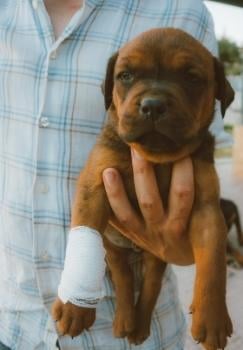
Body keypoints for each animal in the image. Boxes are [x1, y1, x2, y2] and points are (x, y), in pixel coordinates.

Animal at [52, 28, 234, 348]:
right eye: (126, 76)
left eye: (191, 77)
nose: (153, 105)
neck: (158, 158)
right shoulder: (95, 185)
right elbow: (85, 228)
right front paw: (74, 307)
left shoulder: (207, 210)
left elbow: (213, 263)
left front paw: (212, 318)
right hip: (112, 247)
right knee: (124, 279)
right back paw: (124, 321)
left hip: (156, 256)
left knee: (149, 287)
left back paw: (138, 328)